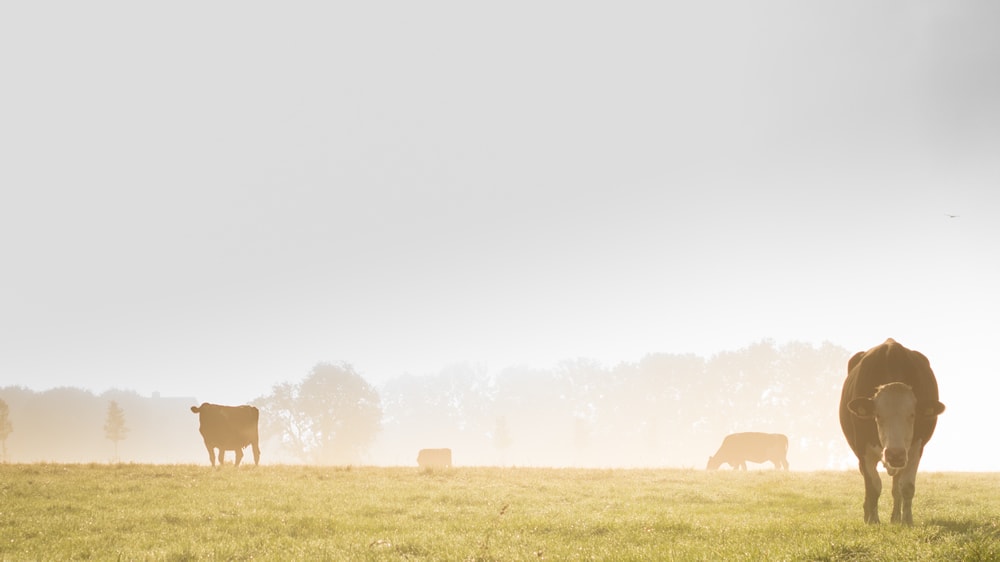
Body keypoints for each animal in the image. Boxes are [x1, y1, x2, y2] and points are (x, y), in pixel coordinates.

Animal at [836, 336, 944, 524]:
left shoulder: (915, 449)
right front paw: (873, 521)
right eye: (877, 415)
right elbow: (873, 487)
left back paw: (895, 518)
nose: (895, 454)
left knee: (896, 485)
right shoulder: (863, 448)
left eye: (912, 414)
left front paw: (907, 521)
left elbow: (906, 486)